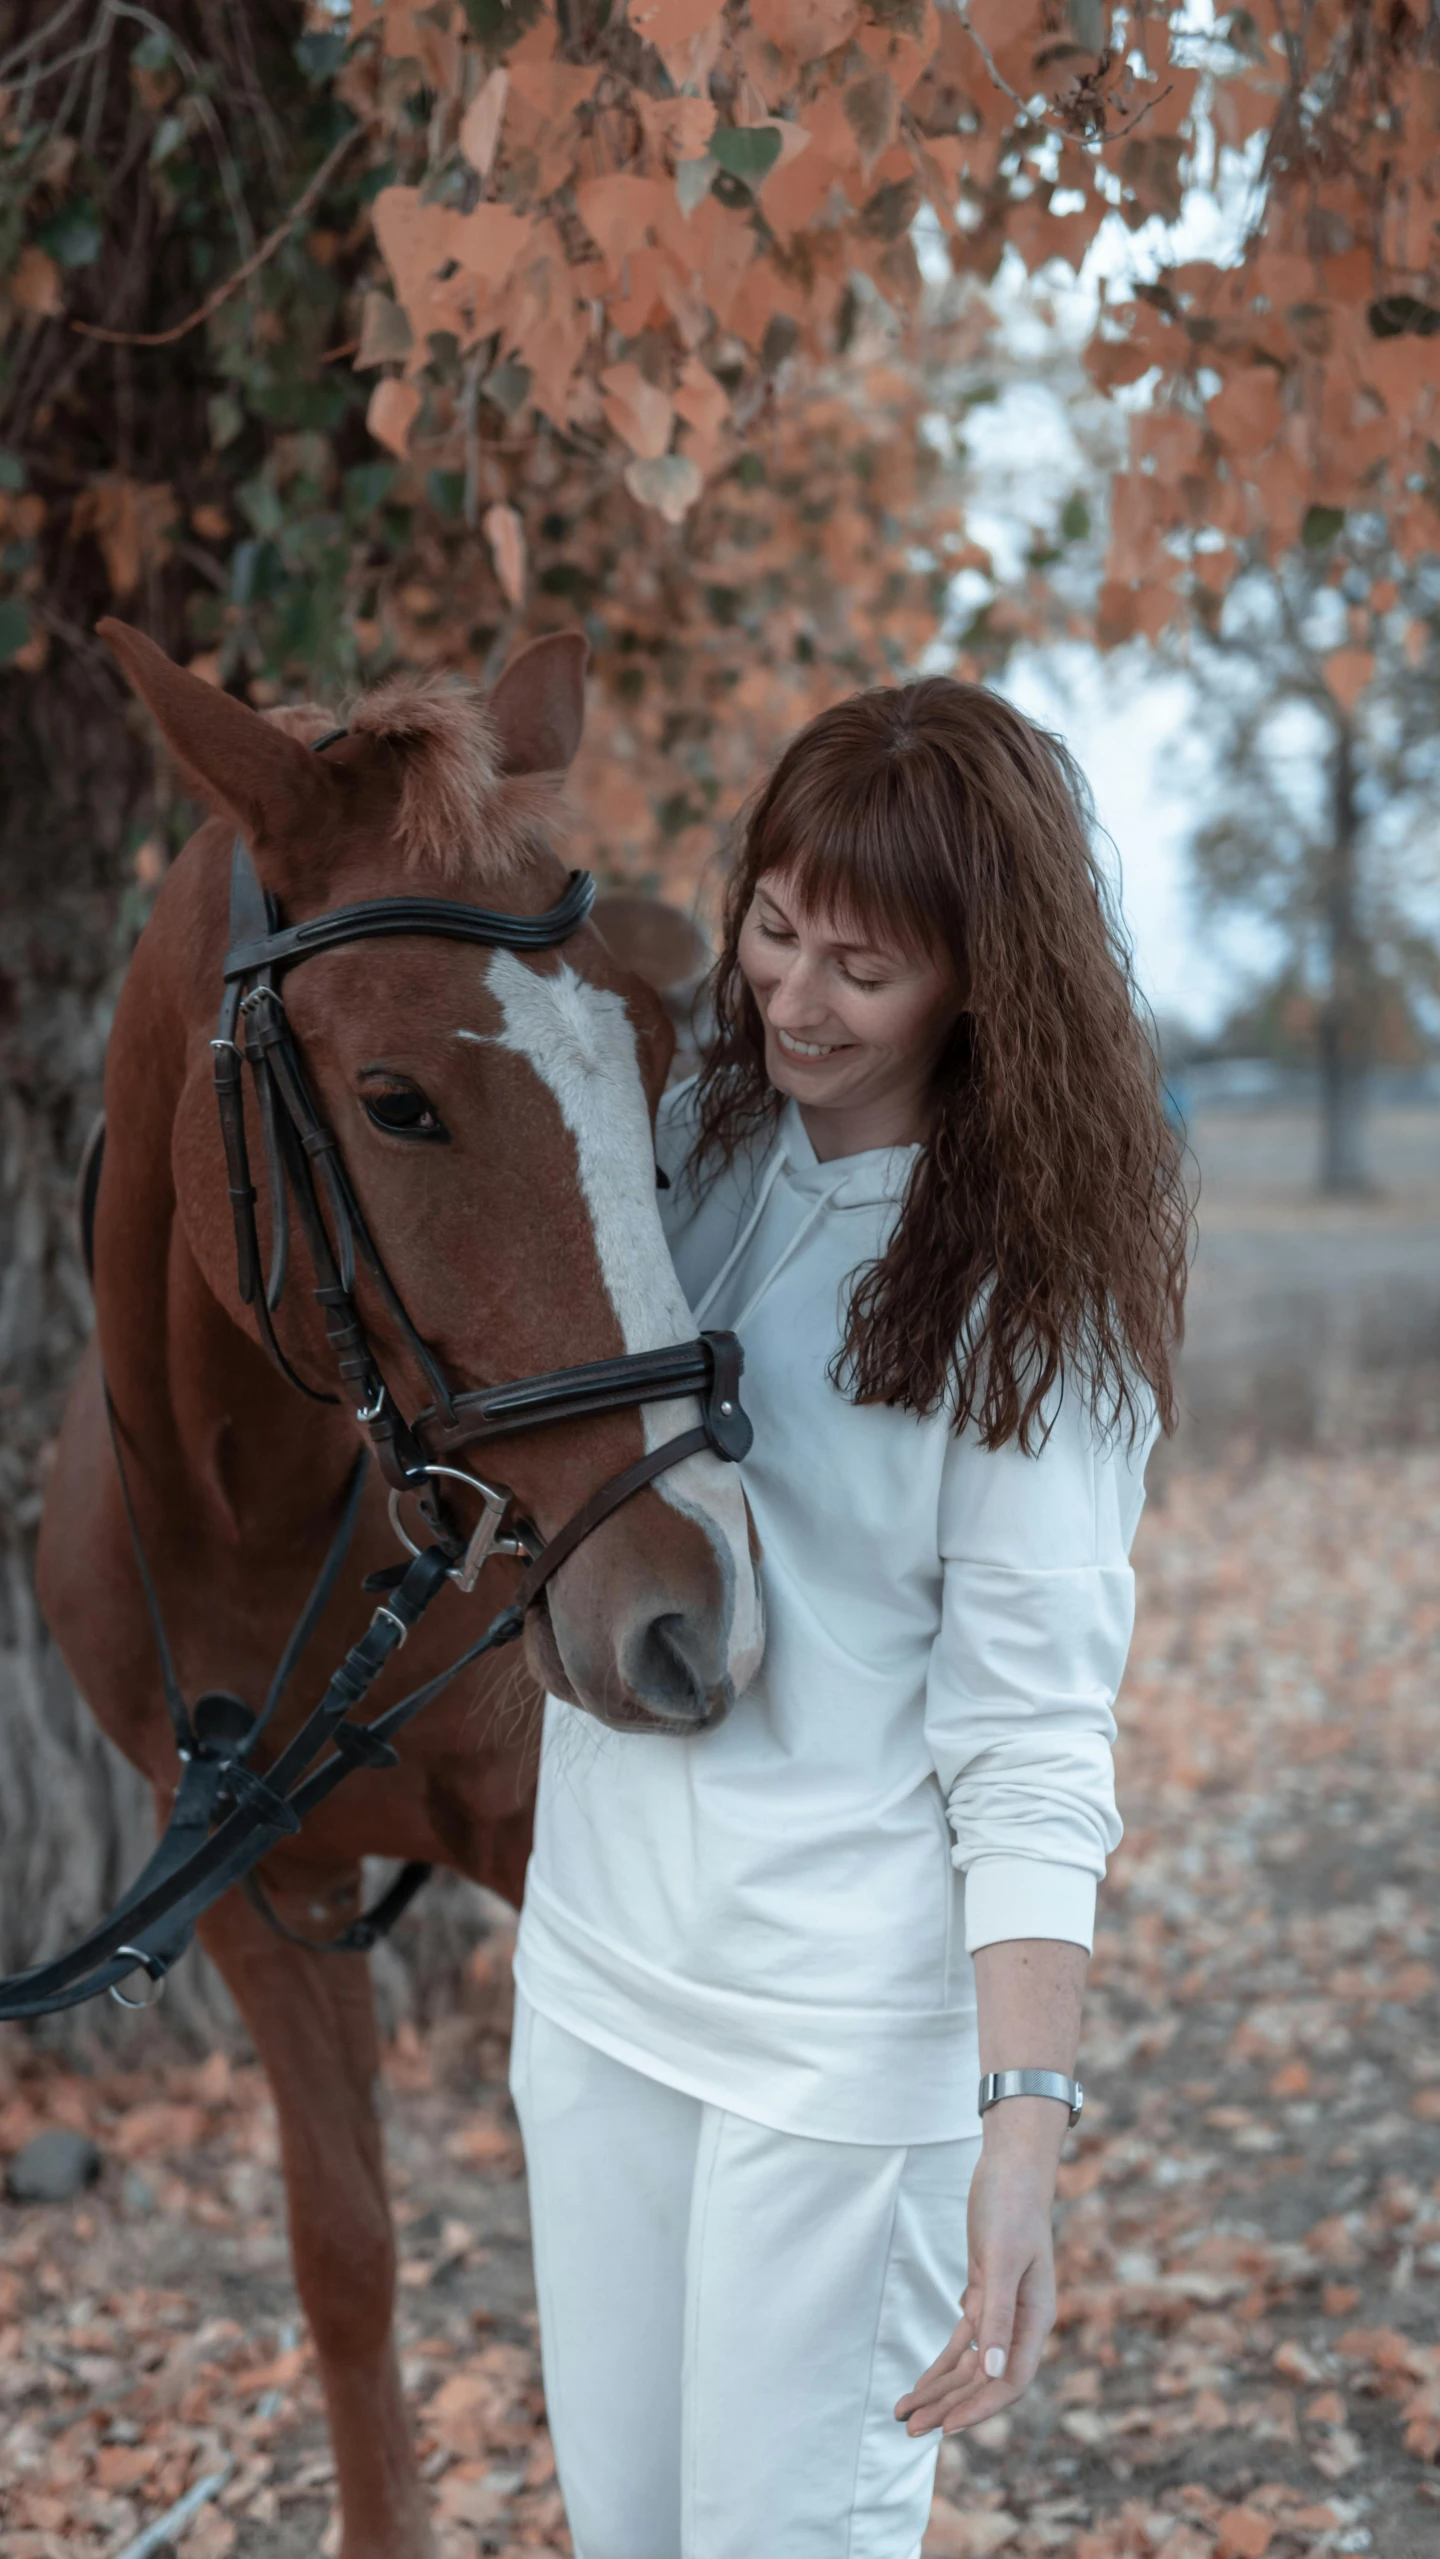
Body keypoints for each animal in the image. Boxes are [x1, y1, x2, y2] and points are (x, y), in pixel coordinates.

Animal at [33, 619, 767, 2559]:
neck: (256, 1508)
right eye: (394, 1100)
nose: (692, 1601)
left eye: (652, 1071)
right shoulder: (243, 1883)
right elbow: (348, 2253)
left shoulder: (543, 1852)